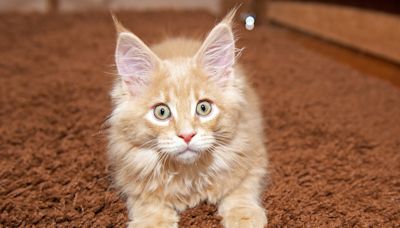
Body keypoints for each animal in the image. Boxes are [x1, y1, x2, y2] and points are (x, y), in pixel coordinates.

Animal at [106, 9, 268, 227]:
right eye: (161, 112)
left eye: (203, 108)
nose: (187, 135)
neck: (188, 173)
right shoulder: (127, 171)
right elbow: (147, 200)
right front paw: (153, 221)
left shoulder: (253, 154)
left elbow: (241, 188)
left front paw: (244, 215)